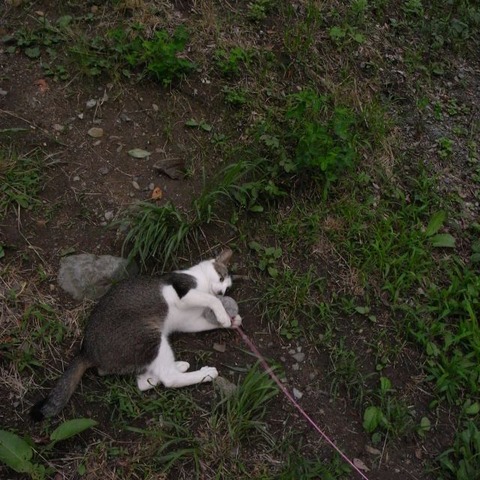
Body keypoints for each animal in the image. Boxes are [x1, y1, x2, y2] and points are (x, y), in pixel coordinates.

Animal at [30, 249, 242, 421]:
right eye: (221, 277)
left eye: (227, 289)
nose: (222, 291)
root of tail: (87, 351)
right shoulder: (184, 292)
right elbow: (210, 300)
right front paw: (224, 316)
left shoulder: (189, 322)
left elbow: (205, 320)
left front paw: (232, 321)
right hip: (148, 336)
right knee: (169, 379)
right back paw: (205, 373)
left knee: (145, 381)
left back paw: (179, 365)